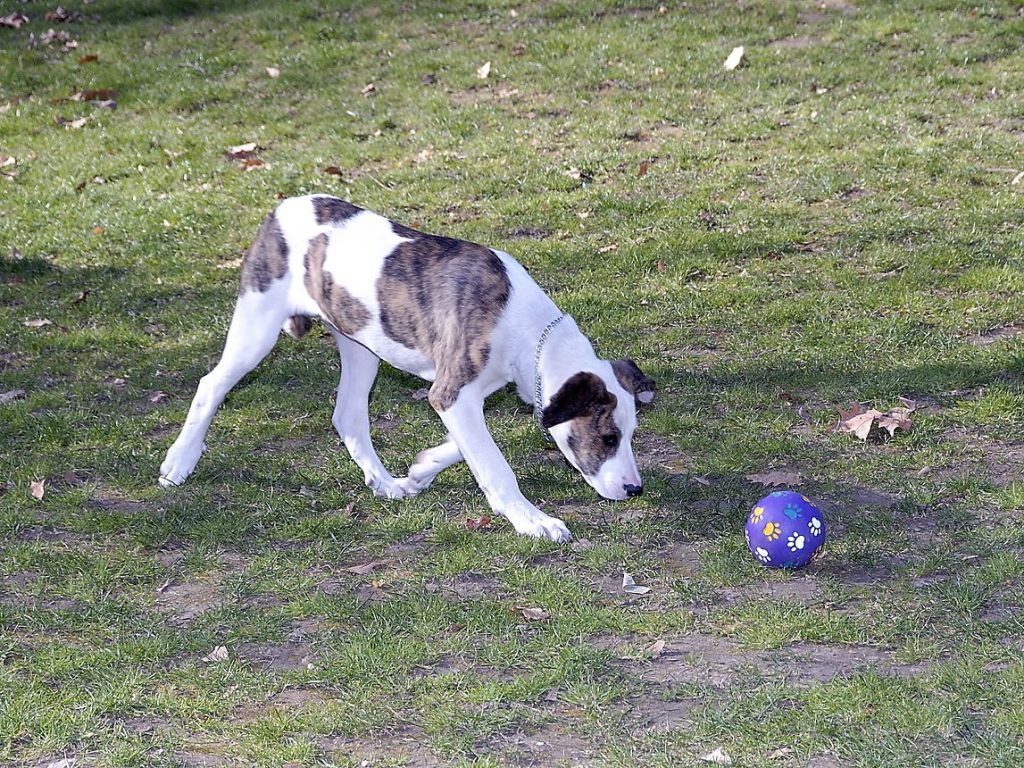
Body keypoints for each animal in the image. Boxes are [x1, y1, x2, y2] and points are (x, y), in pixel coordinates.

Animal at [159, 195, 655, 544]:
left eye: (631, 435)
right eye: (607, 438)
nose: (635, 490)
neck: (528, 329)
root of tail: (282, 207)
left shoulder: (463, 394)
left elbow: (471, 448)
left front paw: (421, 470)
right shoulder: (453, 392)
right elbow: (495, 464)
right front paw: (532, 521)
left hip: (359, 342)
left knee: (348, 414)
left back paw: (383, 482)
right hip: (257, 325)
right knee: (210, 385)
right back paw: (179, 462)